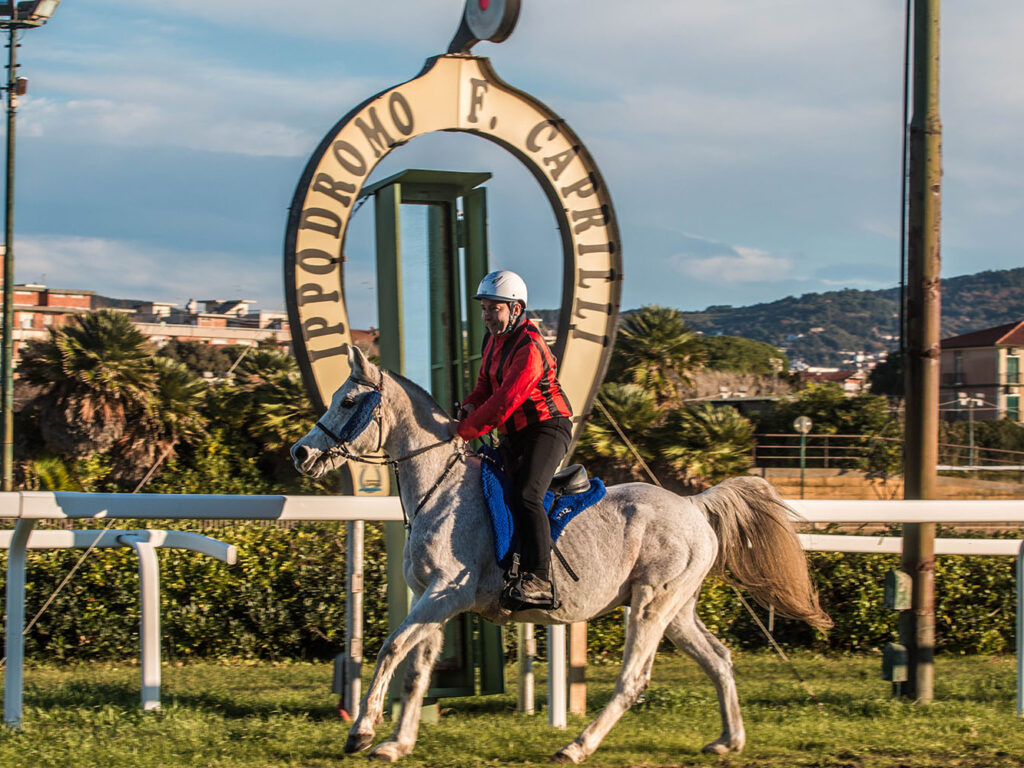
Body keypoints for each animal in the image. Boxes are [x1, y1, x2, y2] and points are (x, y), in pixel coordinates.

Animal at [291, 345, 831, 764]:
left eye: (350, 400)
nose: (301, 454)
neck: (439, 490)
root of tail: (694, 505)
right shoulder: (434, 600)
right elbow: (417, 670)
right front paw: (397, 744)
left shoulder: (446, 594)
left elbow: (390, 649)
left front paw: (361, 732)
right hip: (677, 610)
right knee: (718, 659)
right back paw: (728, 740)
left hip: (650, 606)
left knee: (632, 679)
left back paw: (577, 746)